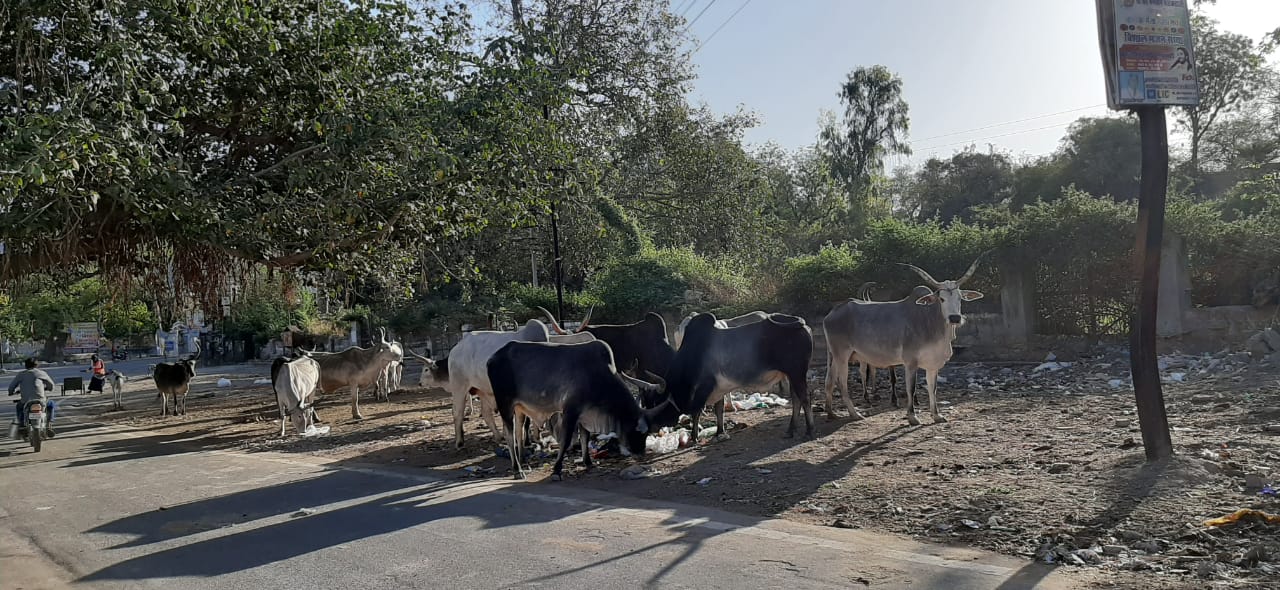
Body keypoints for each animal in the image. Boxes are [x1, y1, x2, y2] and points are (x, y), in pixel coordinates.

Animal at [422, 319, 552, 447]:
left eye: (426, 370)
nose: (420, 383)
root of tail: (454, 351)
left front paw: (536, 439)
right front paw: (530, 440)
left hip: (482, 390)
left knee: (485, 413)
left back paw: (499, 437)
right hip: (459, 387)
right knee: (457, 412)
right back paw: (459, 442)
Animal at [481, 337, 680, 481]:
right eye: (639, 431)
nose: (640, 454)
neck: (598, 376)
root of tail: (493, 358)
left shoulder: (585, 414)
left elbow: (585, 437)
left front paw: (588, 462)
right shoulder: (570, 411)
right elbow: (566, 440)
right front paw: (556, 471)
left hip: (520, 407)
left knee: (519, 432)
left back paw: (522, 461)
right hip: (505, 404)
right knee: (509, 435)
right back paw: (517, 470)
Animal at [645, 312, 814, 440]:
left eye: (656, 403)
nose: (650, 428)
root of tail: (804, 327)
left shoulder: (705, 386)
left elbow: (696, 411)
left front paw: (694, 437)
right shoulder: (718, 387)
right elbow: (719, 410)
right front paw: (720, 432)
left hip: (797, 372)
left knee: (805, 399)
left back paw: (809, 431)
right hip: (792, 374)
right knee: (796, 400)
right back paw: (790, 430)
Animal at [819, 253, 988, 422]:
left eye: (959, 298)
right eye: (942, 299)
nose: (955, 318)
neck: (930, 321)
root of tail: (832, 313)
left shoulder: (933, 364)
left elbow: (932, 388)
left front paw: (936, 415)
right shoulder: (910, 361)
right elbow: (911, 389)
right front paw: (912, 416)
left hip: (835, 356)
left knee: (829, 380)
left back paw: (831, 412)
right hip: (842, 355)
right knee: (841, 382)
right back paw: (854, 413)